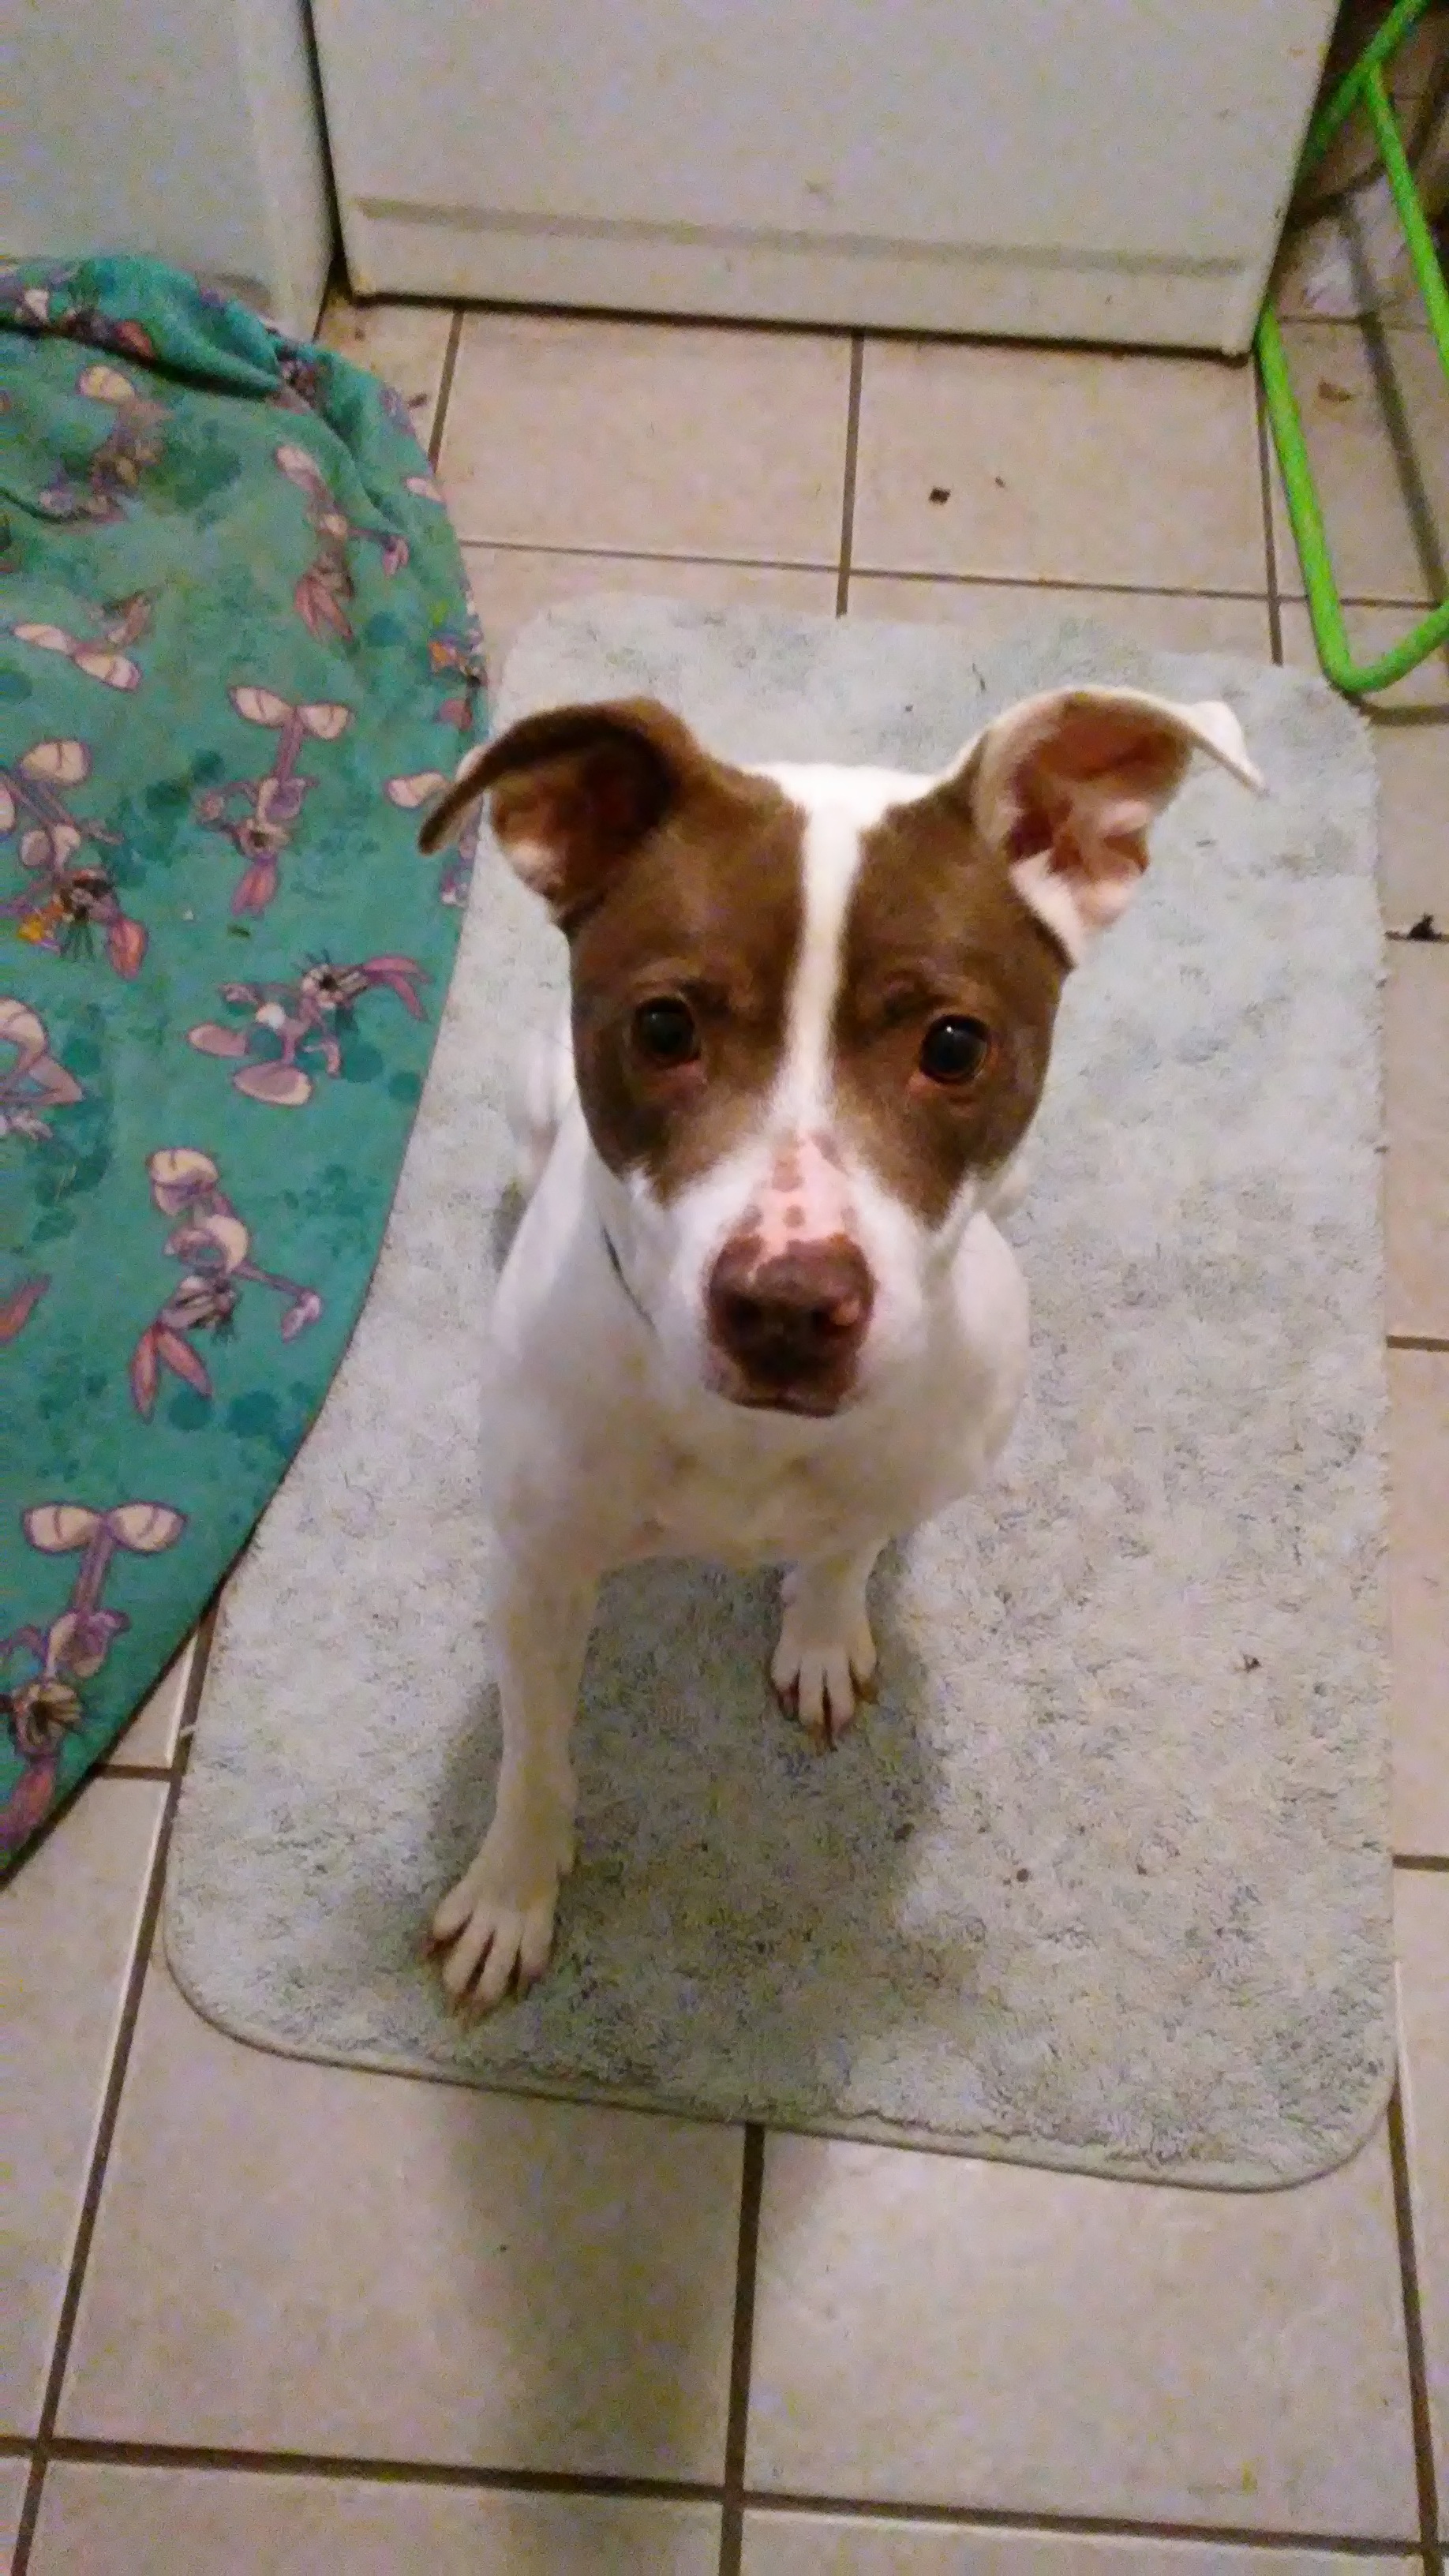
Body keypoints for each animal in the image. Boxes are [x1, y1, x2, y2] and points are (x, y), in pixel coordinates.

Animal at [414, 685, 1252, 2009]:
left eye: (954, 1046)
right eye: (664, 1025)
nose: (789, 1304)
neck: (747, 1437)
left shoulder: (903, 1474)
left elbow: (847, 1546)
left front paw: (819, 1630)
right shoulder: (538, 1577)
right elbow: (533, 1754)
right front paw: (510, 1891)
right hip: (528, 1099)